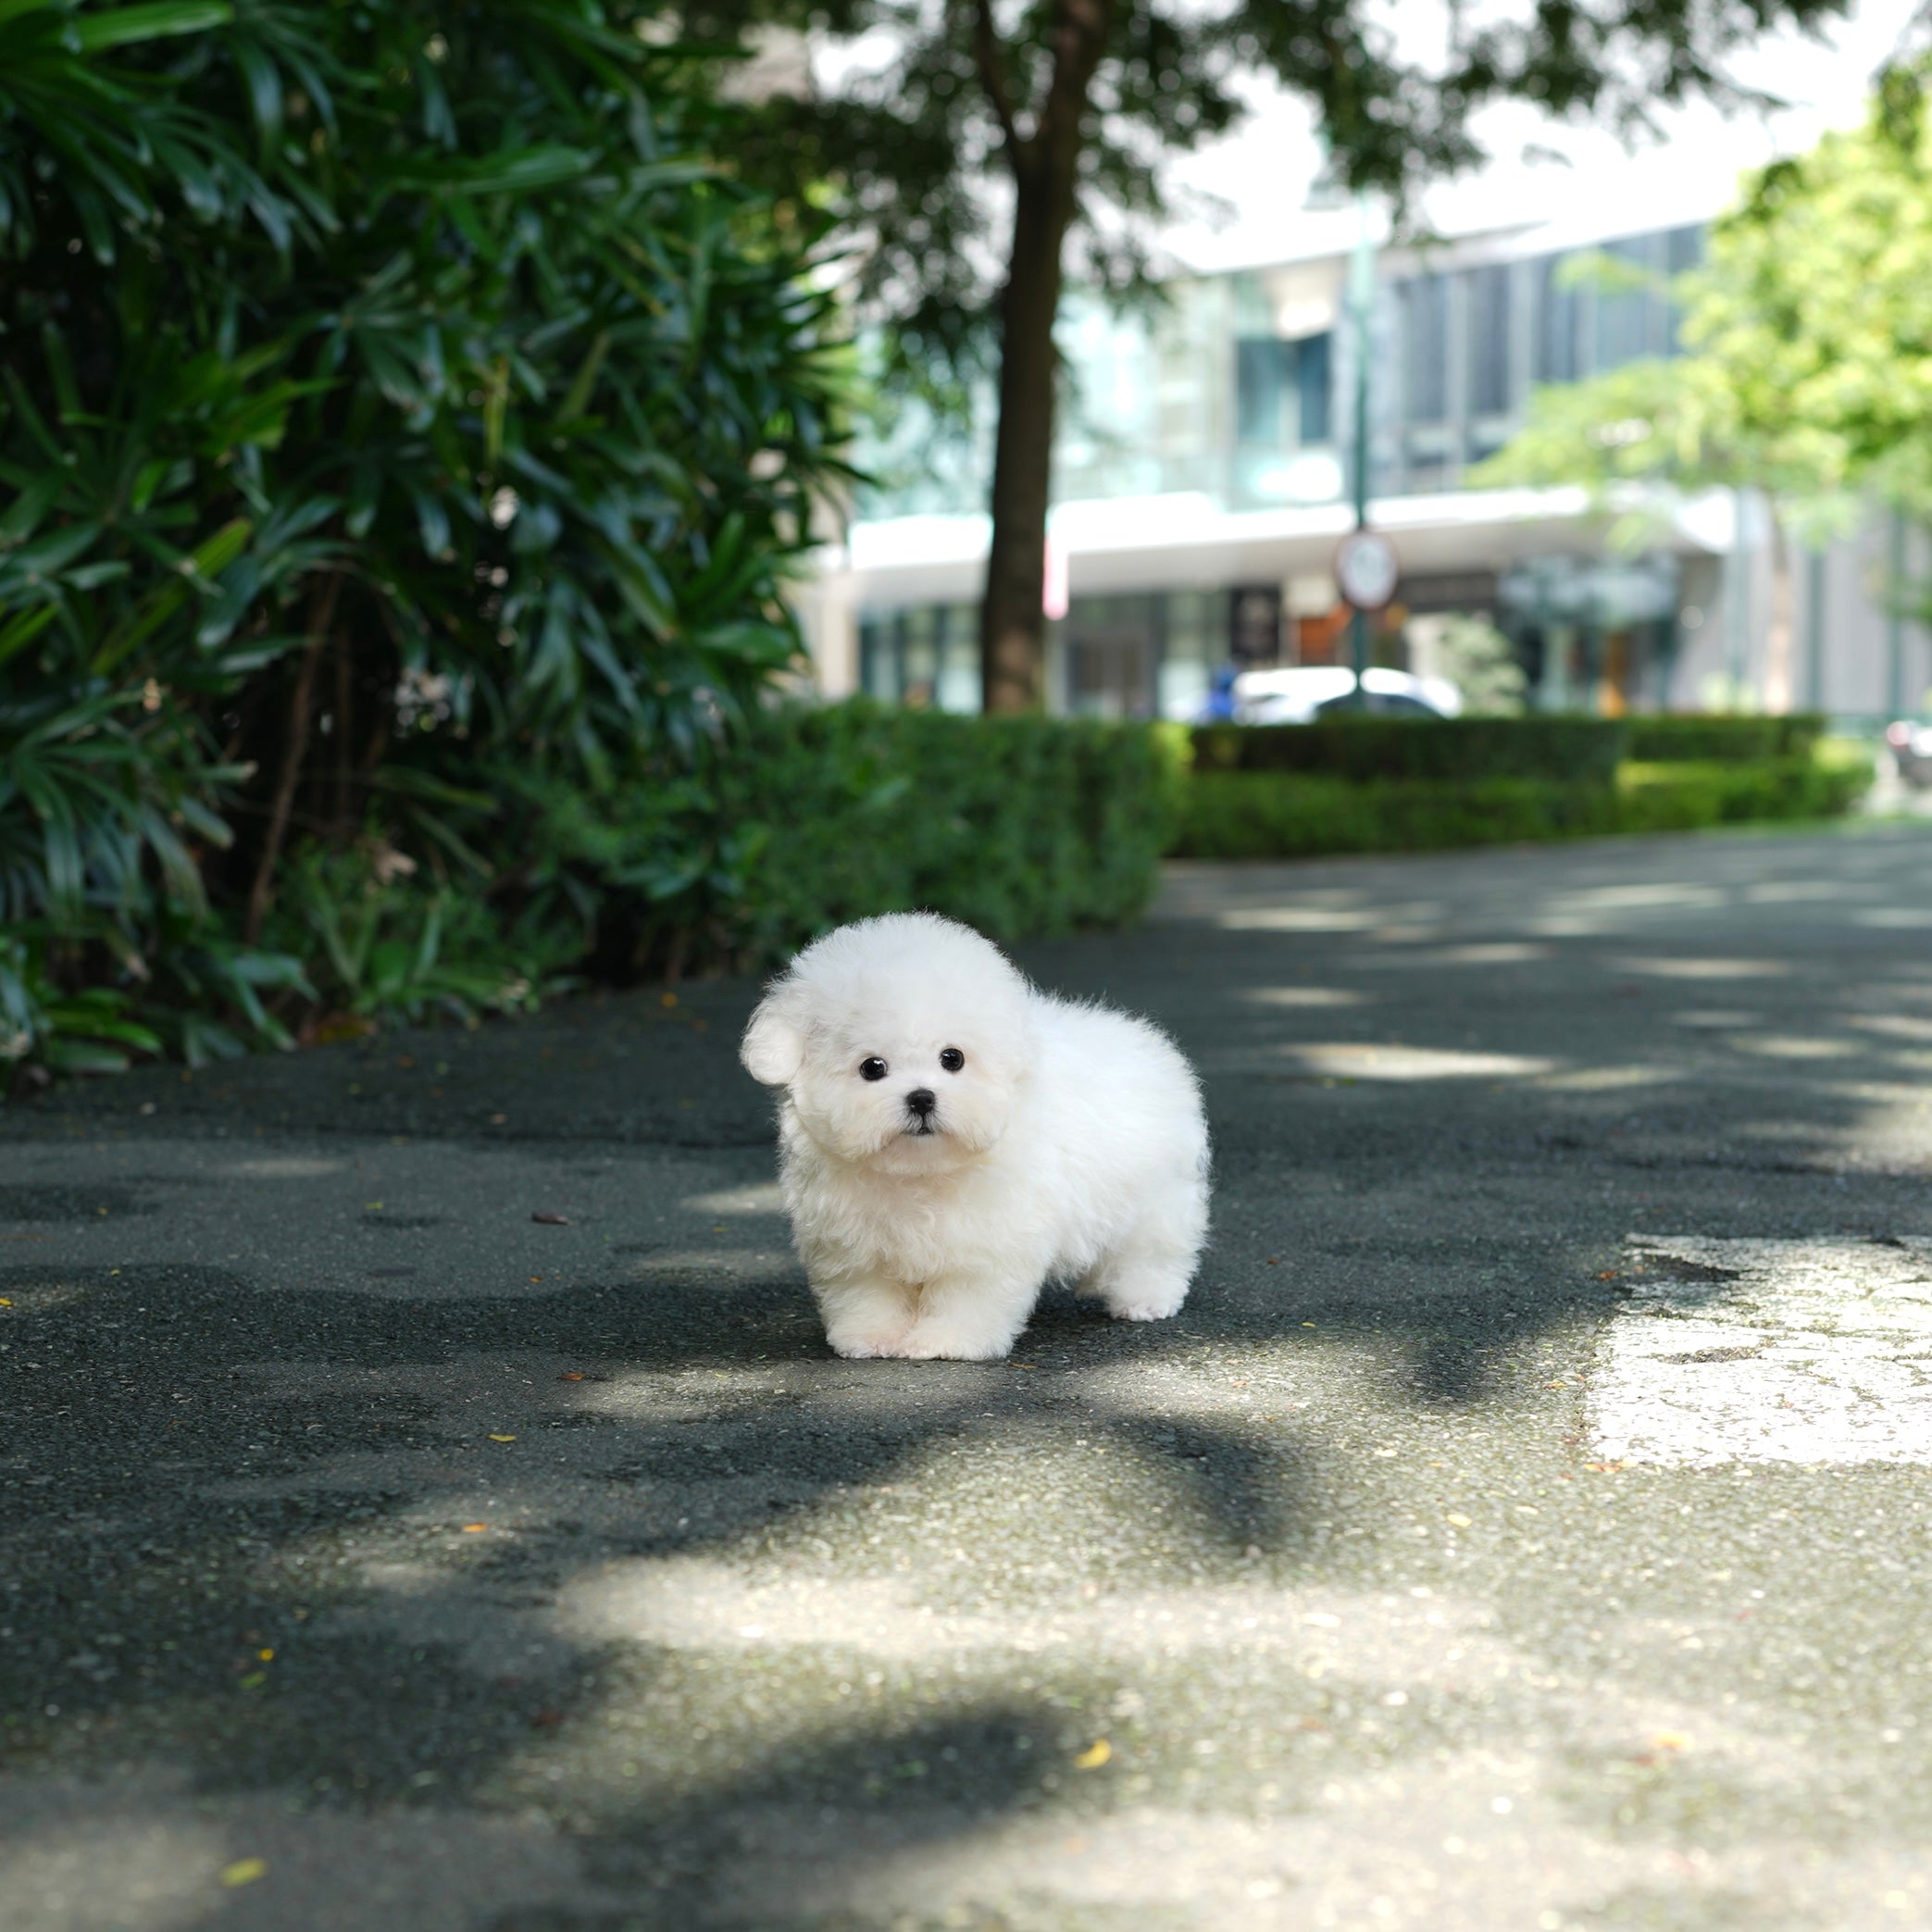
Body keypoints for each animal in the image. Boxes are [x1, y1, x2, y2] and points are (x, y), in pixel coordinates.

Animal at [738, 916, 1205, 1360]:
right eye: (872, 1067)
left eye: (953, 1058)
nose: (921, 1098)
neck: (918, 1171)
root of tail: (1144, 1040)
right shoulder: (851, 1240)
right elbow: (868, 1292)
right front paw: (870, 1336)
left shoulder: (988, 1239)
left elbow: (967, 1295)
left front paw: (948, 1340)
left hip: (1156, 1195)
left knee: (1152, 1250)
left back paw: (1146, 1299)